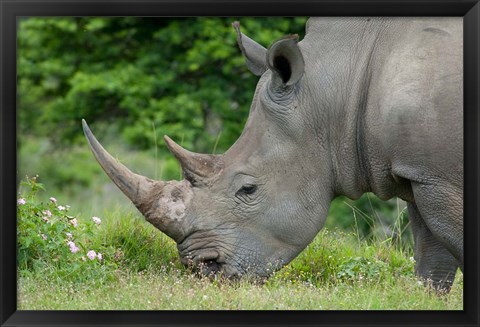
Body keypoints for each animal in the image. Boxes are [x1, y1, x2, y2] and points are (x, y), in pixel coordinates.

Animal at [81, 16, 462, 290]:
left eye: (248, 189)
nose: (203, 269)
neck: (338, 90)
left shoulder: (440, 177)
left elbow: (449, 239)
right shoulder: (421, 172)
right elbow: (432, 259)